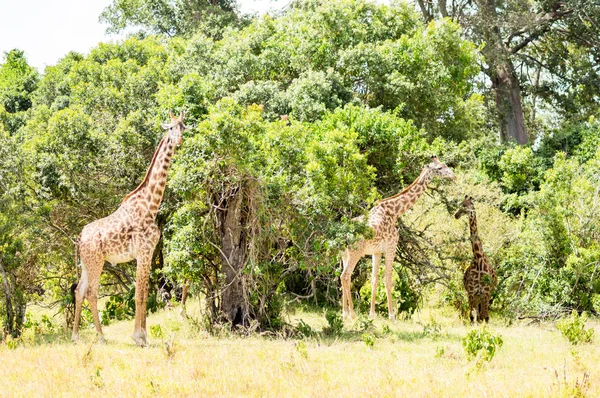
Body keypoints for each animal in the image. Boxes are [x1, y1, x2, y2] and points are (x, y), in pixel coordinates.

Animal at [72, 110, 188, 344]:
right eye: (171, 128)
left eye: (184, 127)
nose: (179, 139)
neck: (151, 205)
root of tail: (80, 237)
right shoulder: (143, 252)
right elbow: (139, 295)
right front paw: (139, 337)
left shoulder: (148, 253)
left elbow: (144, 293)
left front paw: (144, 335)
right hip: (97, 262)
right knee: (91, 293)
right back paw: (101, 337)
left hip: (86, 263)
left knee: (79, 291)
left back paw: (75, 336)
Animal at [338, 156, 454, 320]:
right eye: (439, 168)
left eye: (445, 165)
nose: (453, 176)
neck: (395, 212)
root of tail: (343, 235)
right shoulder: (391, 247)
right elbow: (388, 280)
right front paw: (392, 316)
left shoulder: (376, 251)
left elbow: (374, 280)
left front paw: (372, 315)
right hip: (356, 252)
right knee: (346, 276)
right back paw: (352, 315)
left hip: (345, 253)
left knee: (342, 277)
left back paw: (345, 314)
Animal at [454, 196, 496, 324]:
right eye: (460, 204)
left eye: (465, 205)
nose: (456, 215)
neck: (478, 258)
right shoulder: (472, 293)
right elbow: (473, 318)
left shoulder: (486, 293)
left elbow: (485, 318)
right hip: (475, 297)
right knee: (476, 316)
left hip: (483, 297)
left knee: (483, 316)